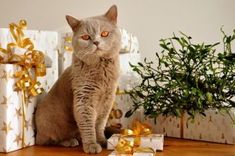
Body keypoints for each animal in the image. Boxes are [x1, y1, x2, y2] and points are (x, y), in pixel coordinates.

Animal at [35, 4, 122, 154]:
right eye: (86, 37)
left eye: (104, 34)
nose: (96, 42)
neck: (100, 68)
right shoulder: (84, 98)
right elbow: (88, 124)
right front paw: (92, 145)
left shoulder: (107, 100)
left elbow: (99, 125)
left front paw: (102, 141)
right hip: (48, 121)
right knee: (48, 140)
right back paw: (70, 141)